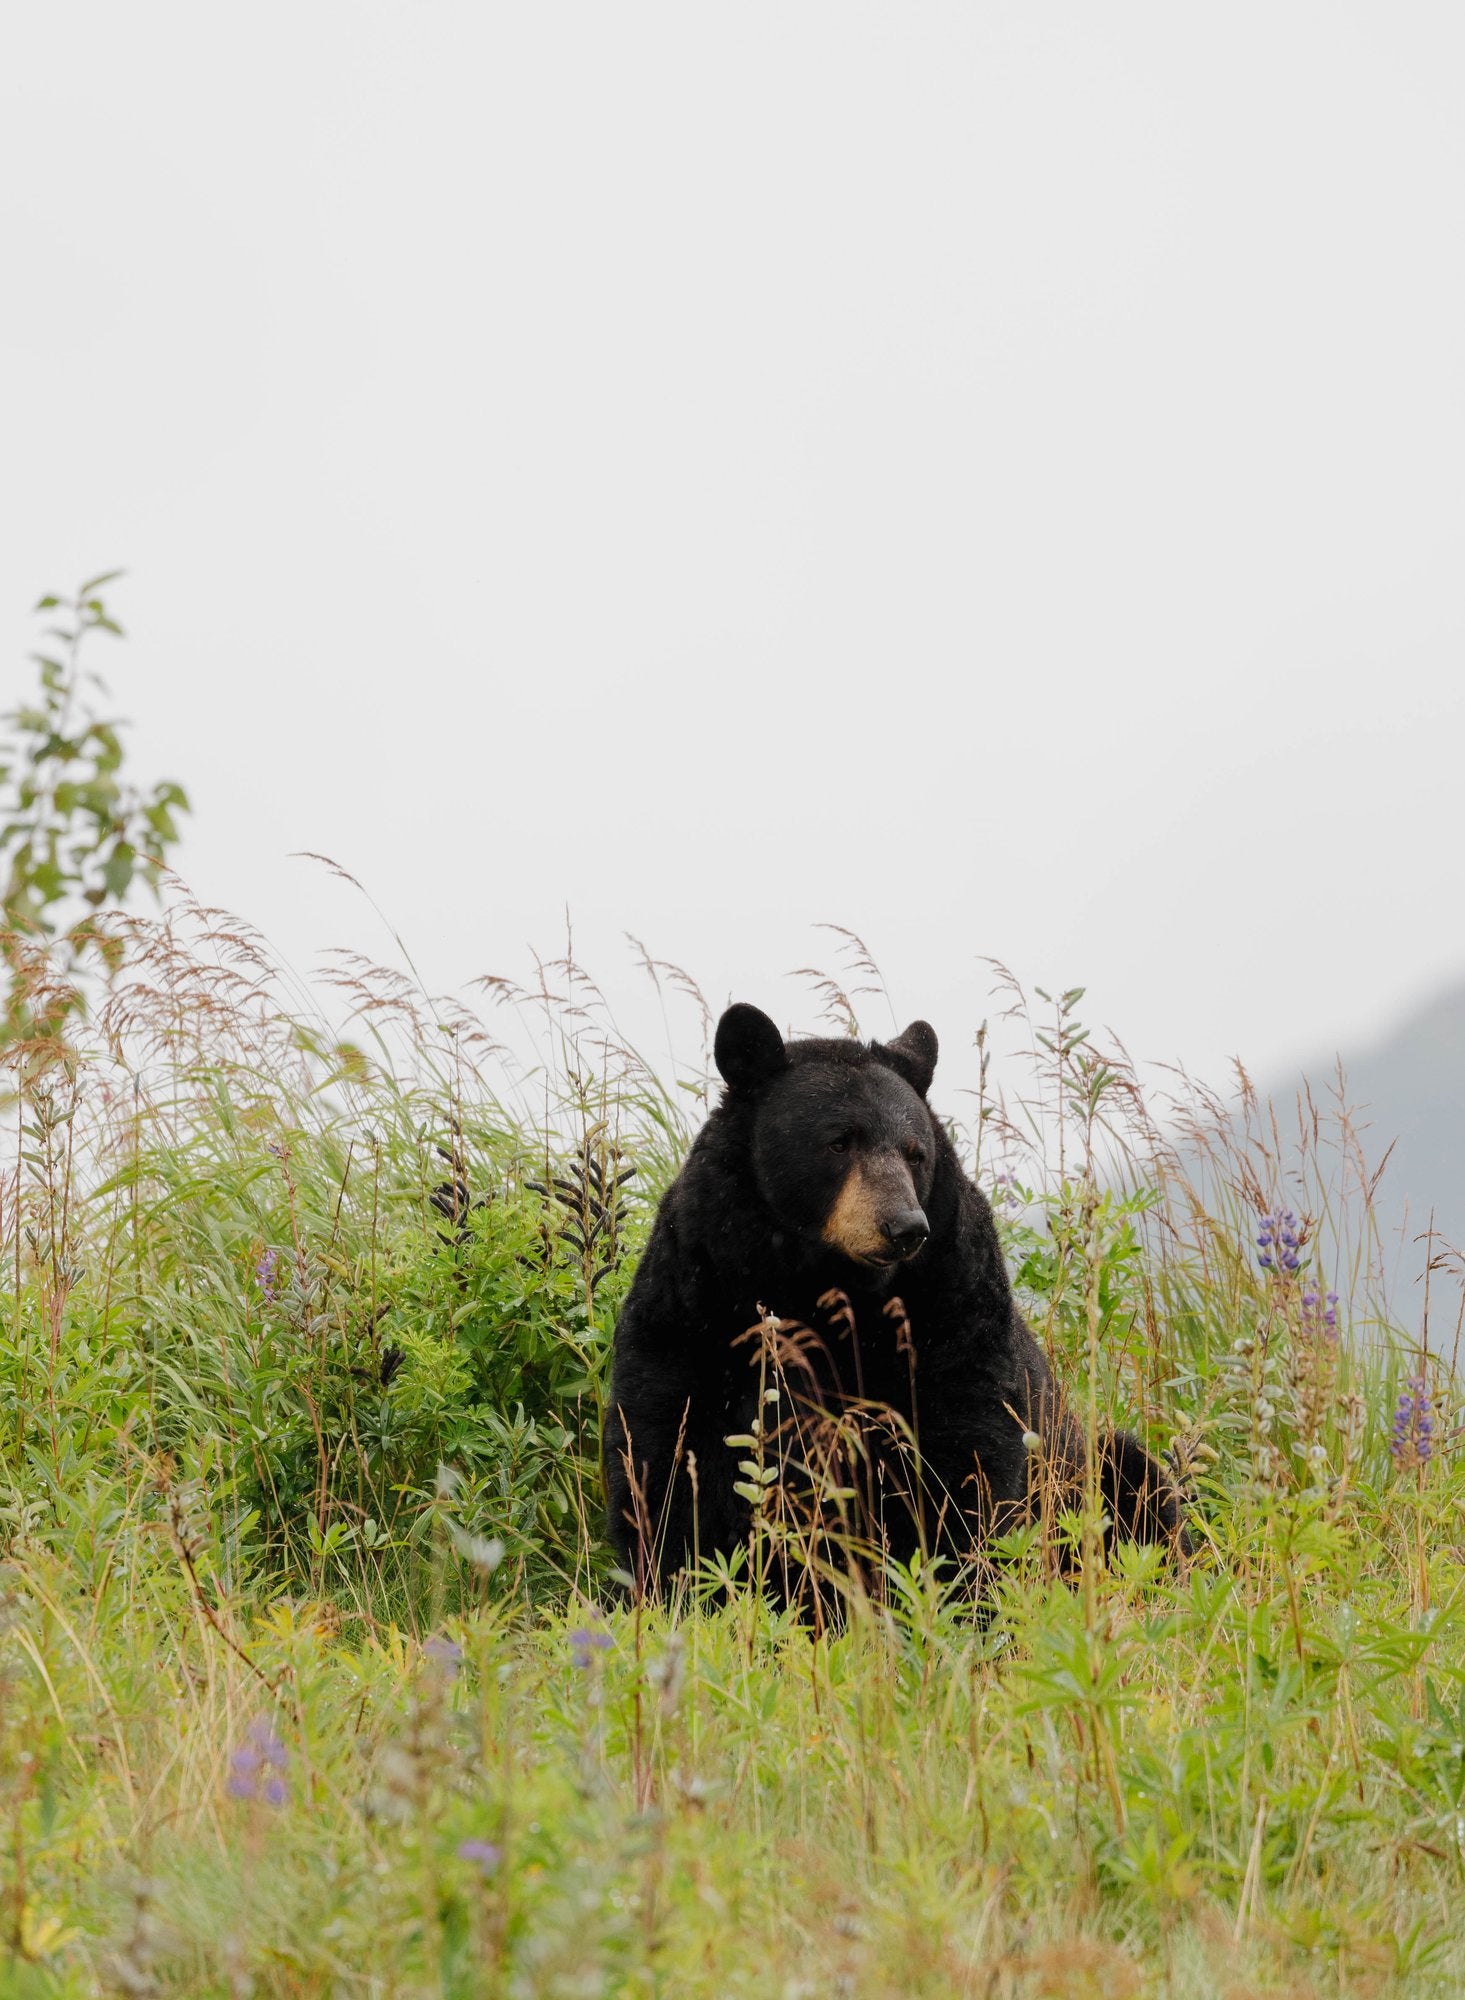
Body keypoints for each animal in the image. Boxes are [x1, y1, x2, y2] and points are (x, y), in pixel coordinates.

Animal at [604, 1002, 1186, 1602]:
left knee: (1137, 1484)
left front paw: (951, 1589)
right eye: (840, 1141)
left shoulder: (953, 1302)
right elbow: (667, 1447)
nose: (905, 1226)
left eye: (915, 1153)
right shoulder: (699, 1294)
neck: (821, 1283)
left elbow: (963, 1452)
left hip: (1083, 1468)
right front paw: (670, 1587)